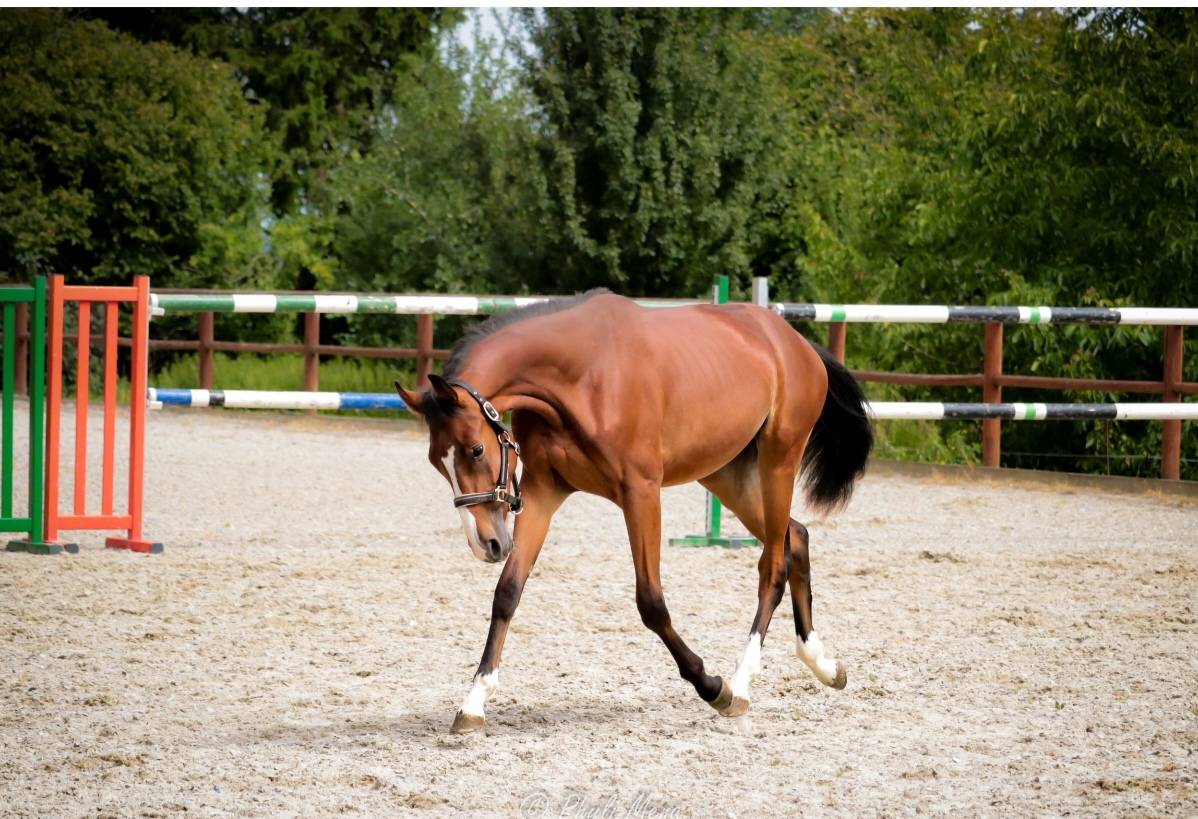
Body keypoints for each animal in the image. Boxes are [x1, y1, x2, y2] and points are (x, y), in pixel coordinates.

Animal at [395, 289, 872, 733]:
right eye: (436, 462)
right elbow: (508, 592)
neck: (580, 375)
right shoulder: (544, 491)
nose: (487, 543)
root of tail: (795, 342)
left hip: (778, 462)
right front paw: (473, 703)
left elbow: (651, 602)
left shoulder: (641, 492)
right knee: (797, 537)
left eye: (476, 449)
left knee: (773, 563)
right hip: (725, 473)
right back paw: (824, 665)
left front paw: (712, 687)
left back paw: (740, 684)